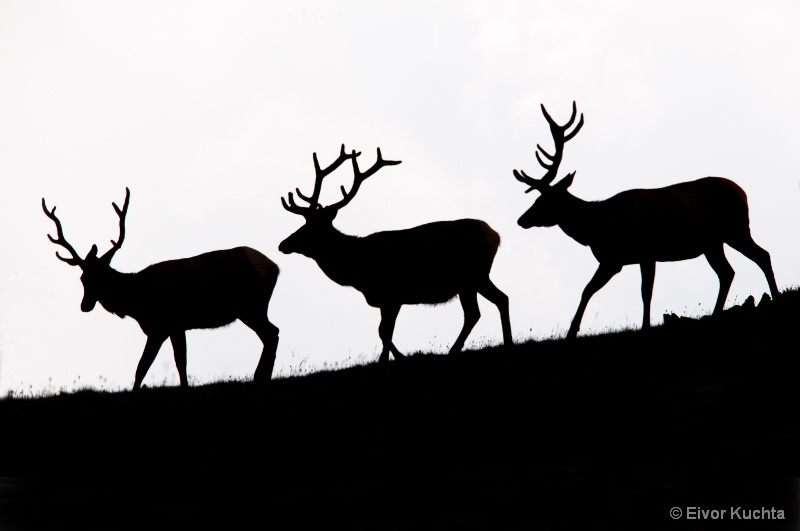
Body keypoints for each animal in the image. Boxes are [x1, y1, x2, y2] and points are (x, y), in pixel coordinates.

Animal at [44, 189, 282, 388]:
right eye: (83, 278)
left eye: (100, 277)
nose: (85, 305)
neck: (137, 302)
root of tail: (273, 267)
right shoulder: (175, 326)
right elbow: (177, 362)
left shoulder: (163, 325)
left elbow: (144, 367)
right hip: (253, 308)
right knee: (272, 333)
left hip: (250, 306)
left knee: (272, 333)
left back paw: (260, 377)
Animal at [278, 144, 510, 362]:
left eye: (310, 228)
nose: (282, 244)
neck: (357, 270)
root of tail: (495, 236)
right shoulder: (385, 299)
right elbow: (384, 332)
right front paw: (388, 358)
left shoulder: (393, 294)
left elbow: (383, 331)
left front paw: (395, 358)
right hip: (471, 280)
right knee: (490, 305)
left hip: (474, 275)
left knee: (484, 307)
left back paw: (469, 347)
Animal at [512, 102, 780, 338]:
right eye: (536, 198)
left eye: (544, 201)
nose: (521, 220)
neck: (599, 226)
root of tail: (742, 192)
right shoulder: (616, 259)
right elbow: (590, 289)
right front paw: (572, 331)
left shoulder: (641, 252)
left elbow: (640, 291)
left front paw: (642, 326)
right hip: (714, 243)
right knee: (728, 271)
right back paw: (716, 315)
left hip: (735, 229)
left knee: (761, 255)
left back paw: (775, 298)